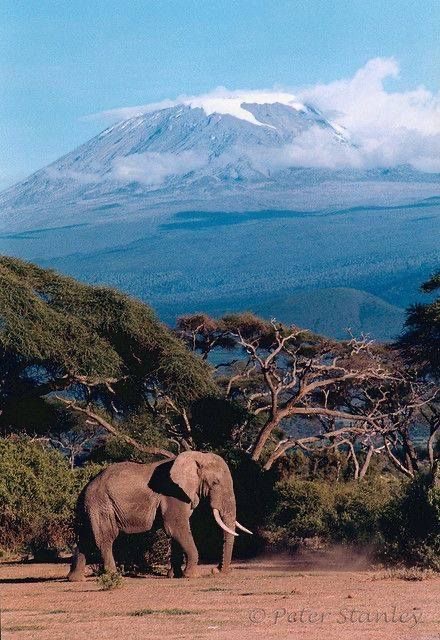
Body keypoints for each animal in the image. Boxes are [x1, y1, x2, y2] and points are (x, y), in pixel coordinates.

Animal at [67, 451, 252, 581]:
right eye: (215, 483)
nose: (217, 570)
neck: (197, 456)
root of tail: (85, 487)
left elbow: (177, 532)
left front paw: (175, 575)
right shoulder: (172, 493)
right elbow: (177, 527)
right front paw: (191, 576)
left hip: (89, 507)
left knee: (85, 538)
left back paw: (75, 579)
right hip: (102, 505)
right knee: (105, 538)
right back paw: (113, 575)